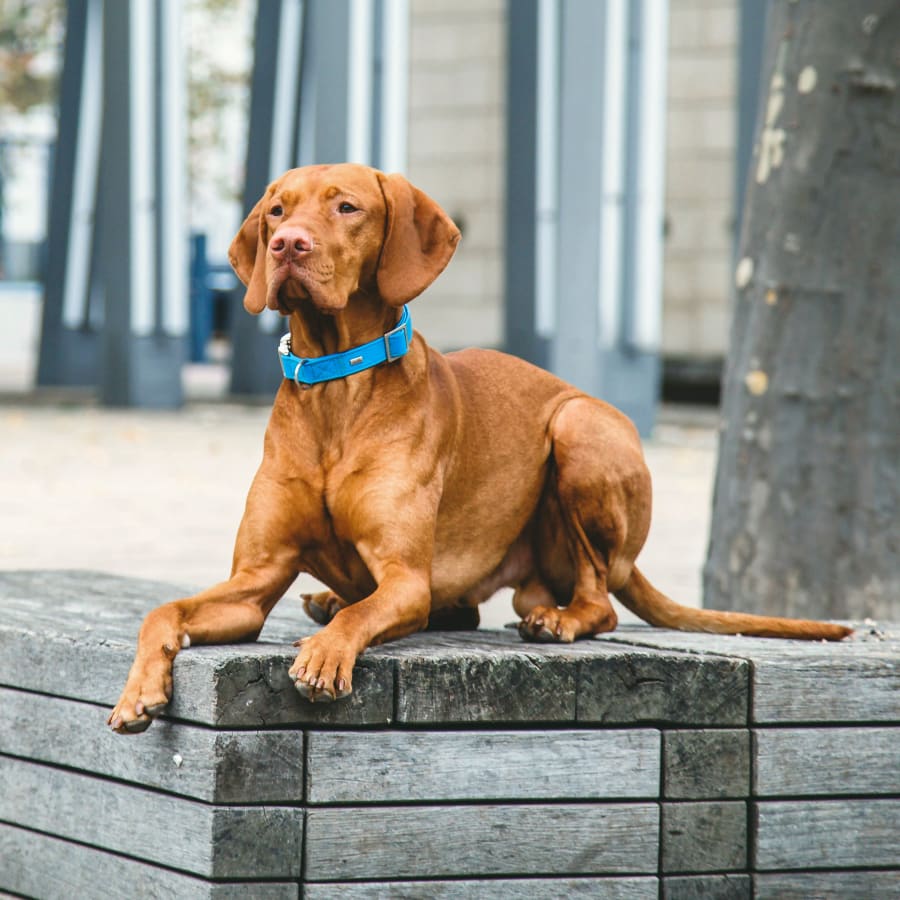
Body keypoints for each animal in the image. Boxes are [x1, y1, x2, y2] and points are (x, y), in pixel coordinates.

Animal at [109, 167, 848, 732]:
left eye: (346, 207)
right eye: (276, 211)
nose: (288, 244)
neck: (335, 388)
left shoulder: (406, 578)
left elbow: (369, 611)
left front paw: (324, 655)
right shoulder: (254, 580)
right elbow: (162, 611)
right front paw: (139, 690)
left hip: (579, 430)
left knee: (597, 597)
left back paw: (557, 620)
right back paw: (330, 599)